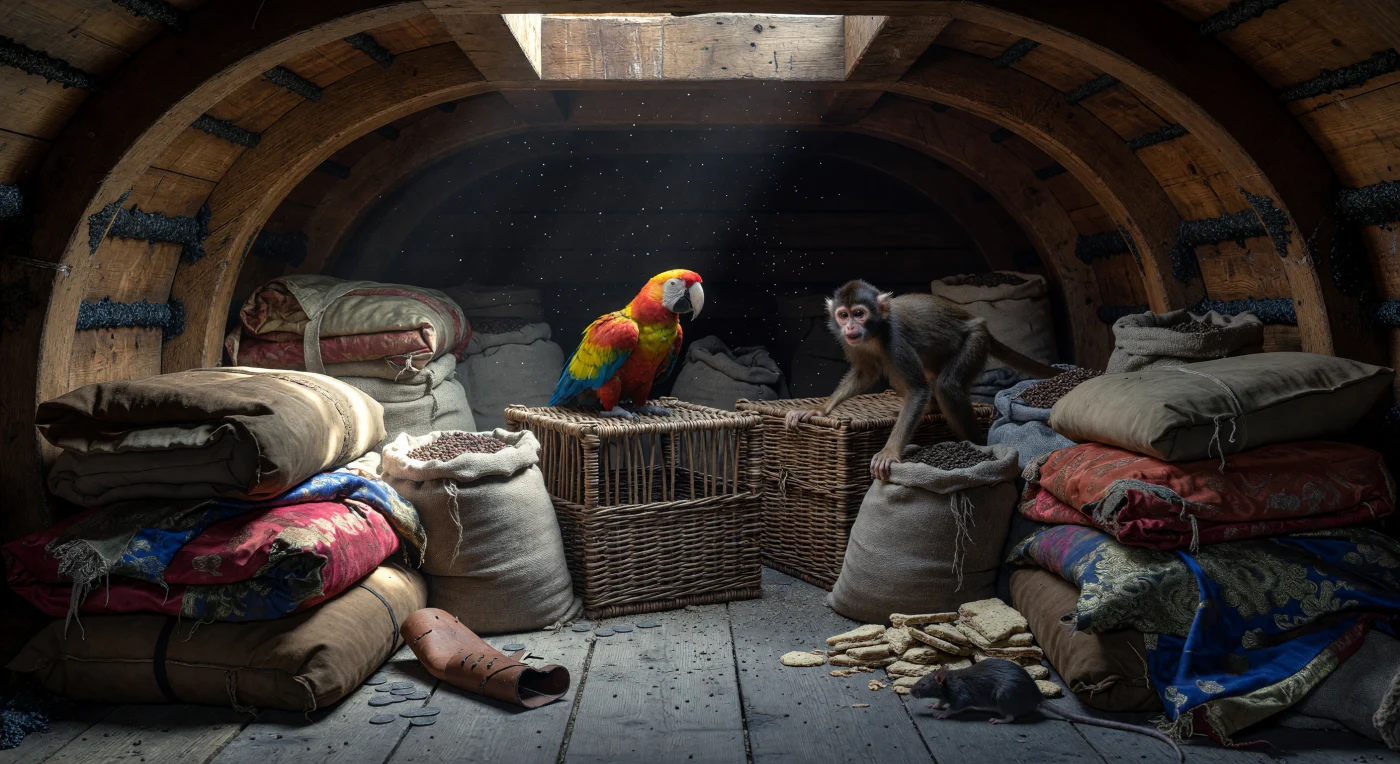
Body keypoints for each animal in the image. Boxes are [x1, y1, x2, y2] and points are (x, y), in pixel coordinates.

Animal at [784, 280, 1060, 481]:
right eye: (843, 315)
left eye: (859, 314)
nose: (850, 327)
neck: (876, 333)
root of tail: (981, 324)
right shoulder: (852, 342)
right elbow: (866, 373)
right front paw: (820, 409)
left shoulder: (896, 341)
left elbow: (918, 390)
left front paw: (889, 451)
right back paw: (931, 408)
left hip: (976, 341)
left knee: (945, 386)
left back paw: (976, 444)